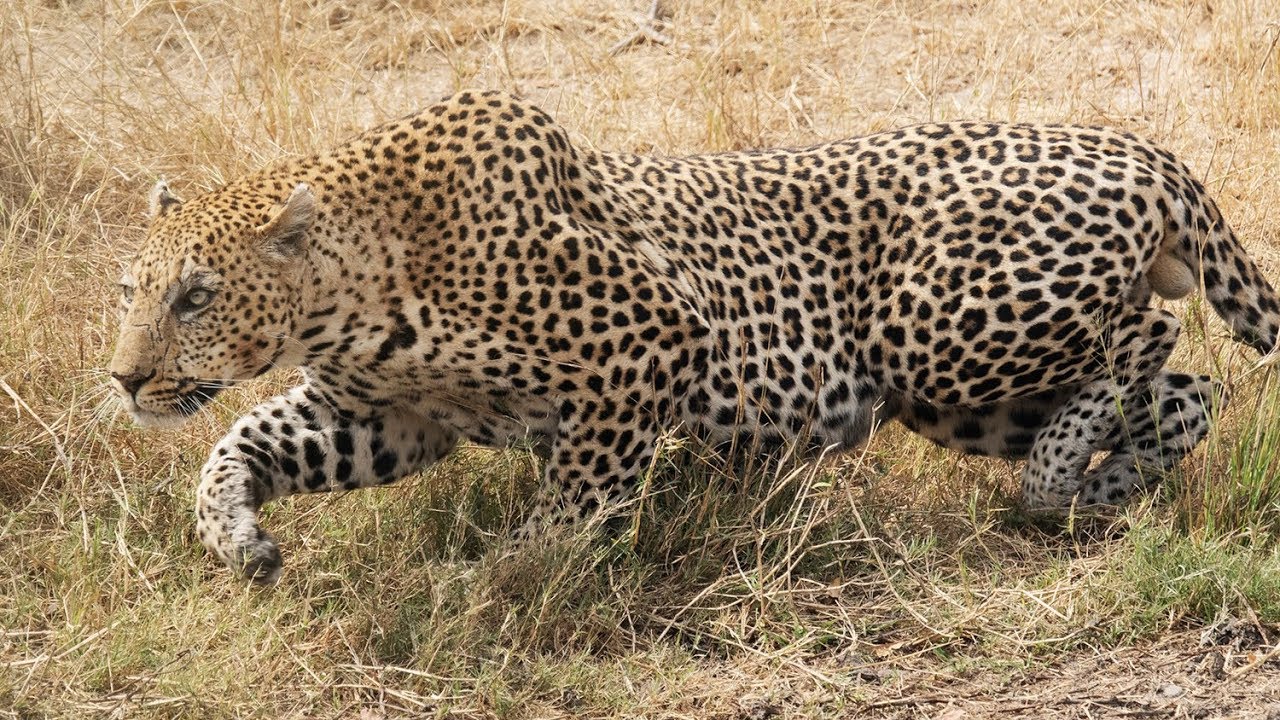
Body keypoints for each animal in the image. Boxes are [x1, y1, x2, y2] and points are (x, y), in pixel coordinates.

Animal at [108, 90, 1278, 584]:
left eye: (195, 298)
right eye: (131, 288)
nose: (121, 379)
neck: (357, 289)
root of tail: (1140, 146)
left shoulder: (652, 339)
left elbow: (579, 495)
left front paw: (511, 573)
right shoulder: (389, 419)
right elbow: (235, 445)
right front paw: (235, 537)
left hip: (937, 330)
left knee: (1147, 333)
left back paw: (1054, 481)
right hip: (959, 394)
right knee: (1187, 393)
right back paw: (1094, 487)